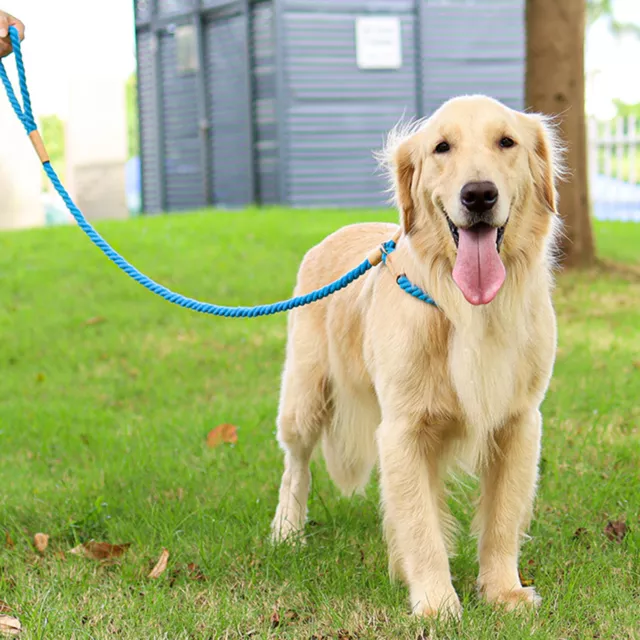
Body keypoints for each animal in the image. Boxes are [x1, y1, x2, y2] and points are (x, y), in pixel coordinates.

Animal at [270, 92, 560, 616]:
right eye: (442, 147)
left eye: (506, 142)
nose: (479, 195)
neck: (468, 310)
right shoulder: (402, 429)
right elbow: (420, 525)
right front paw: (436, 602)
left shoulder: (519, 421)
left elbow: (502, 519)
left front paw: (503, 591)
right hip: (305, 395)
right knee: (295, 465)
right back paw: (287, 530)